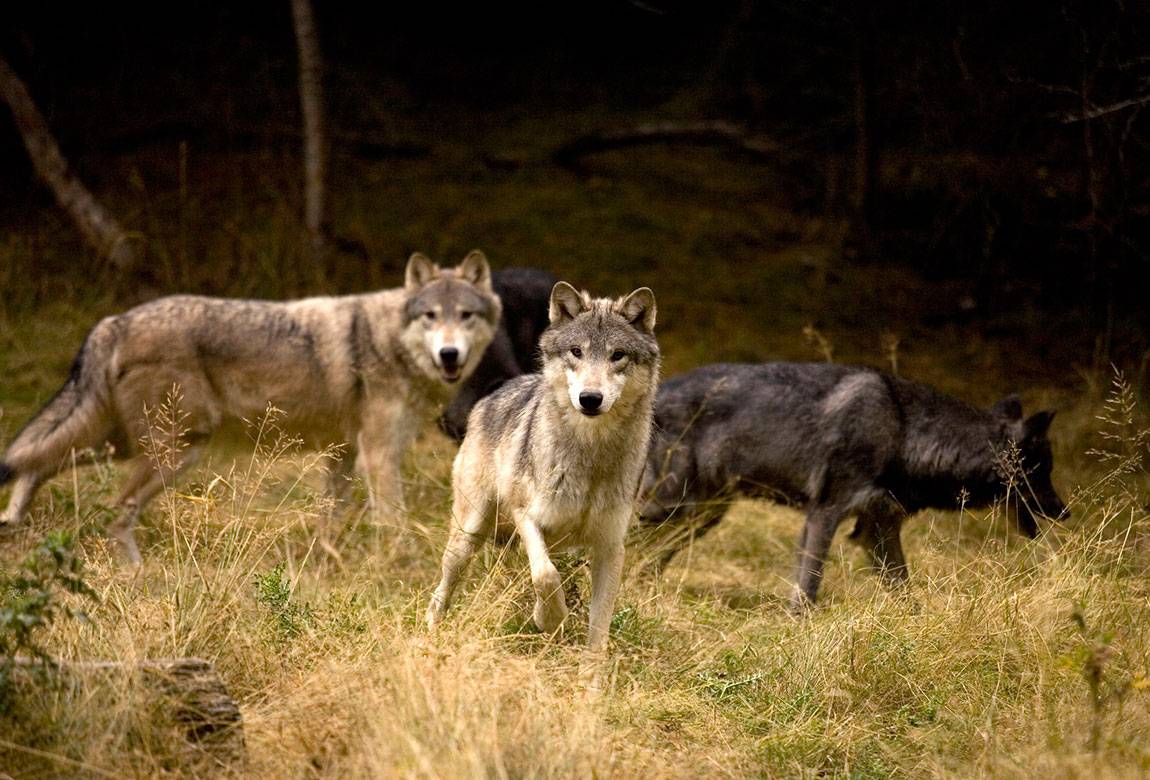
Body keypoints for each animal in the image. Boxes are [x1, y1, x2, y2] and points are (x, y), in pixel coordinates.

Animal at [0, 251, 502, 563]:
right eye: (431, 317)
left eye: (465, 316)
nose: (449, 355)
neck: (386, 341)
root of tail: (115, 320)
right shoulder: (378, 455)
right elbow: (394, 520)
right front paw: (399, 563)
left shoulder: (342, 453)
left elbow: (328, 519)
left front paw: (329, 563)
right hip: (173, 451)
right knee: (114, 508)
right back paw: (136, 572)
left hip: (122, 444)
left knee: (36, 462)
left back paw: (12, 521)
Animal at [638, 362, 1066, 610]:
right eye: (1041, 472)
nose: (1065, 511)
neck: (904, 431)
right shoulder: (824, 515)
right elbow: (808, 586)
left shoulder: (876, 529)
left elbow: (904, 591)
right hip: (669, 508)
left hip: (700, 517)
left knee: (648, 560)